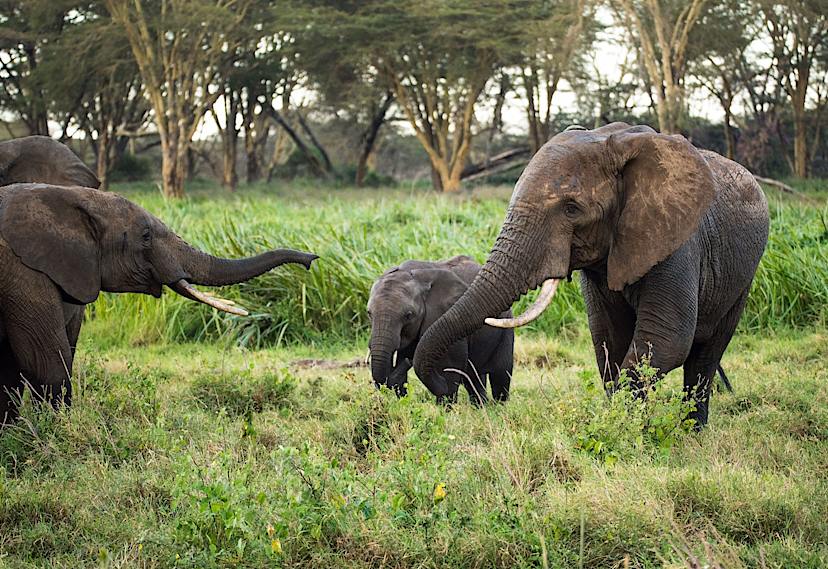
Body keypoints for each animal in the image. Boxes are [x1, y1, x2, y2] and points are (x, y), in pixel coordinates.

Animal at [0, 183, 317, 425]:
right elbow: (46, 363)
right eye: (146, 235)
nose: (311, 259)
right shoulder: (23, 273)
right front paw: (54, 432)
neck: (66, 196)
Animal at [368, 256, 514, 405]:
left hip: (505, 325)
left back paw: (498, 406)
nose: (409, 361)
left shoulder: (443, 313)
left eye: (408, 315)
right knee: (474, 377)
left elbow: (450, 368)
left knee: (500, 374)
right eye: (369, 313)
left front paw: (444, 408)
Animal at [413, 123, 769, 428]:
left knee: (706, 353)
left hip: (743, 277)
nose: (445, 391)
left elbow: (664, 338)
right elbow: (608, 339)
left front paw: (625, 429)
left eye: (572, 209)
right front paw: (624, 424)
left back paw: (693, 430)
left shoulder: (678, 241)